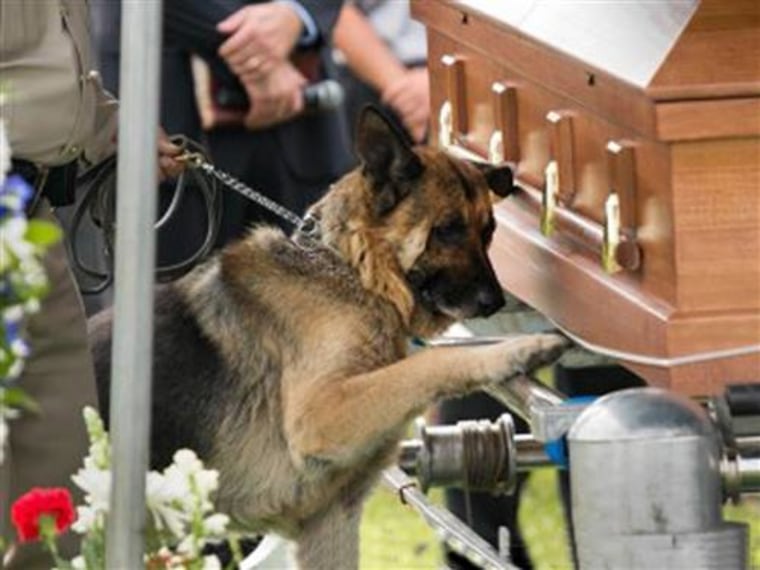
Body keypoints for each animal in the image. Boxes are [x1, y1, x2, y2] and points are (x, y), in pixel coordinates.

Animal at [89, 107, 564, 568]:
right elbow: (428, 363)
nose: (495, 301)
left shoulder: (331, 518)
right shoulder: (322, 414)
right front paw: (519, 350)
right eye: (447, 230)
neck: (350, 270)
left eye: (489, 232)